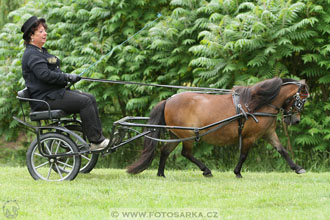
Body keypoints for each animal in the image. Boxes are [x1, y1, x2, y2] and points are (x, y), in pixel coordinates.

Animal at [127, 77, 310, 177]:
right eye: (301, 100)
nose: (295, 121)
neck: (258, 104)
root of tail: (168, 100)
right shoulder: (249, 137)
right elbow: (243, 155)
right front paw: (237, 172)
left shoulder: (268, 133)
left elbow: (282, 150)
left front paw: (297, 168)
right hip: (188, 135)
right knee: (186, 153)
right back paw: (206, 170)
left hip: (177, 135)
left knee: (165, 151)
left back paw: (161, 174)